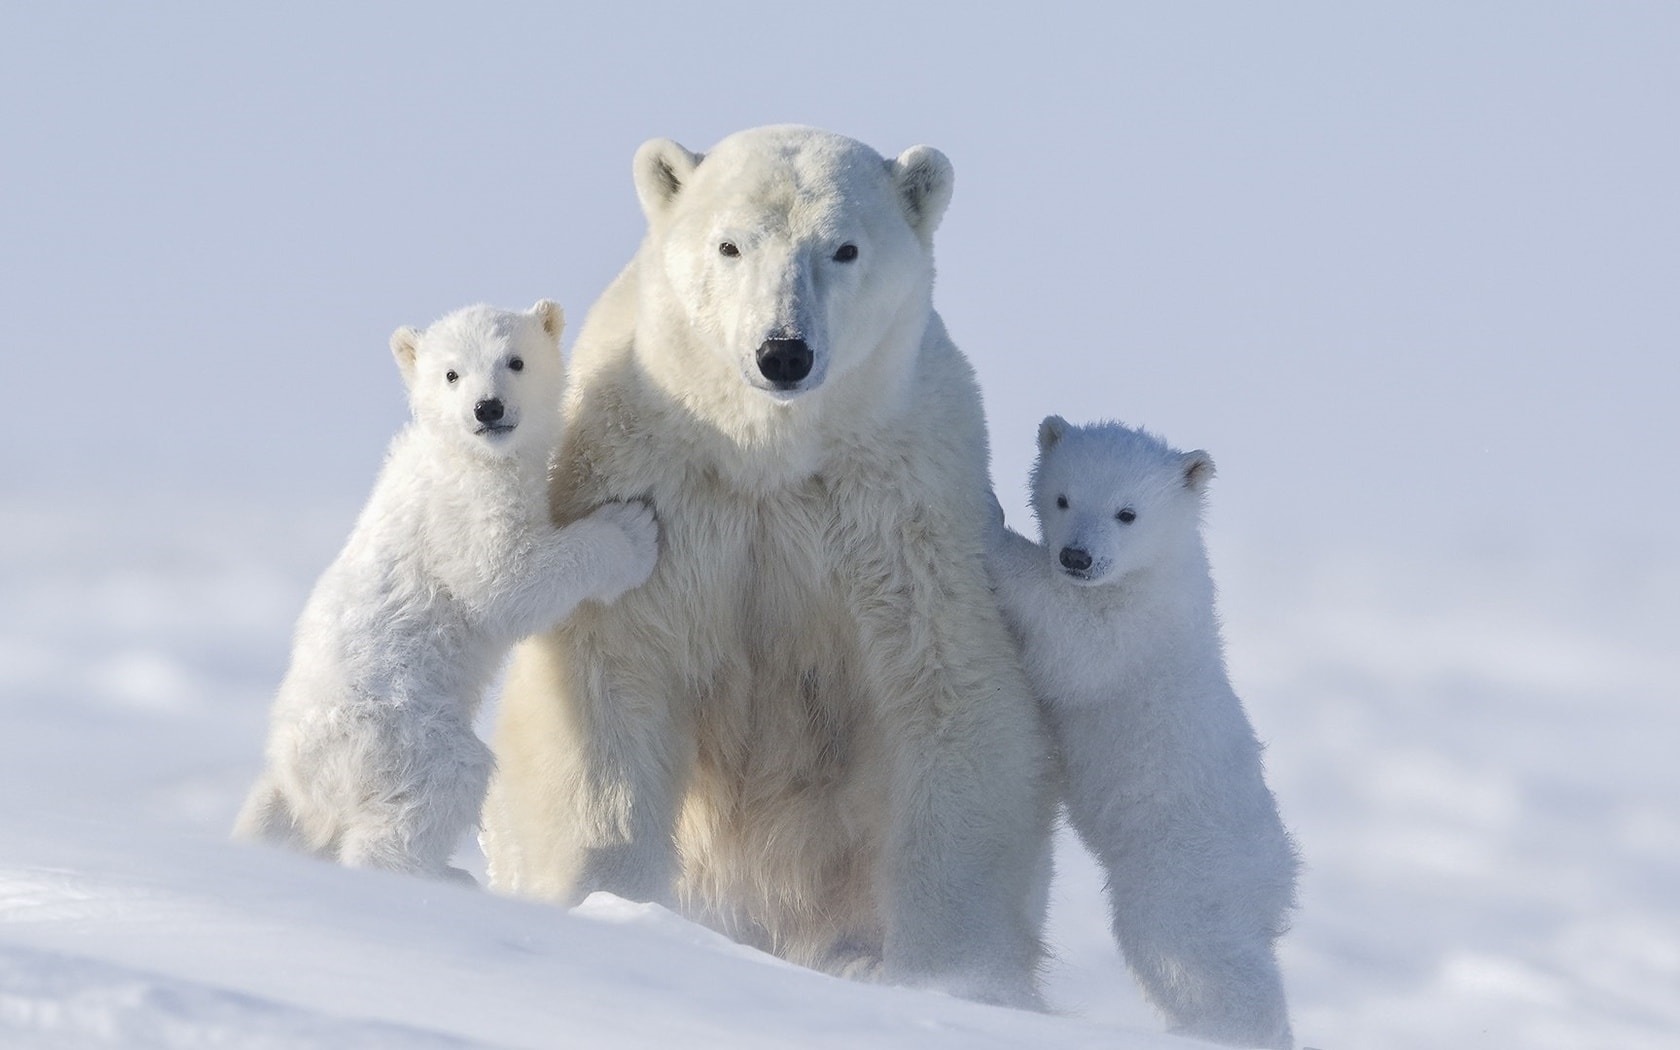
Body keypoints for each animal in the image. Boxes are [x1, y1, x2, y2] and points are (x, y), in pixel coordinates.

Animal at [483, 126, 1048, 1001]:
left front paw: (953, 976)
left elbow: (951, 700)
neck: (766, 457)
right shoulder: (659, 494)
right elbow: (610, 684)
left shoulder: (899, 516)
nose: (783, 351)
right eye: (731, 244)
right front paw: (606, 900)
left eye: (844, 247)